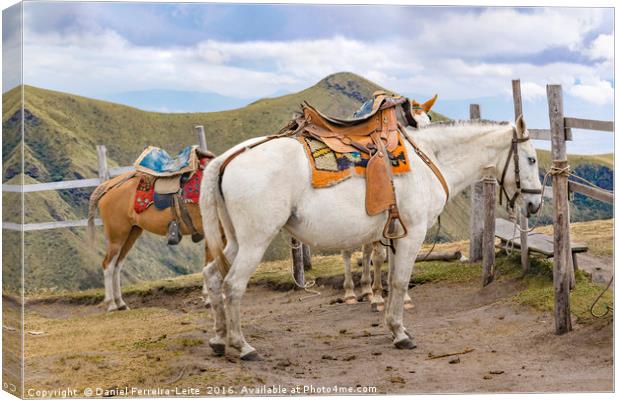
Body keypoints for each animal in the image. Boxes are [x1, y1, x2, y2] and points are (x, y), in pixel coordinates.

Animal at [86, 172, 213, 312]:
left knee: (117, 265)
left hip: (131, 234)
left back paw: (120, 303)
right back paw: (111, 304)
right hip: (117, 236)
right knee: (108, 265)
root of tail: (108, 185)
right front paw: (209, 298)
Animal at [201, 115, 540, 360]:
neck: (429, 159)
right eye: (532, 159)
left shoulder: (393, 235)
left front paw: (392, 326)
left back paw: (218, 339)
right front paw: (401, 334)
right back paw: (243, 346)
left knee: (212, 276)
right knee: (233, 285)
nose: (535, 204)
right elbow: (400, 281)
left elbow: (389, 279)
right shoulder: (412, 234)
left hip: (235, 241)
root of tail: (226, 158)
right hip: (255, 241)